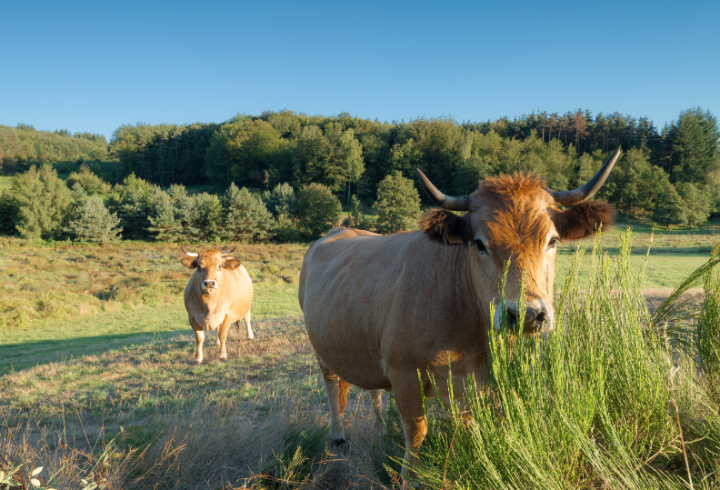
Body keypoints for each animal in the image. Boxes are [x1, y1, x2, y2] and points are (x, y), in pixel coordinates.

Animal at [296, 147, 620, 480]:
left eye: (552, 240)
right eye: (479, 243)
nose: (527, 314)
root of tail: (339, 230)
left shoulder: (479, 381)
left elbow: (469, 430)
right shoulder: (403, 372)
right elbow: (416, 434)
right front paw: (408, 479)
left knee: (372, 389)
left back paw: (380, 430)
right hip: (320, 347)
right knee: (332, 384)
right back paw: (338, 437)